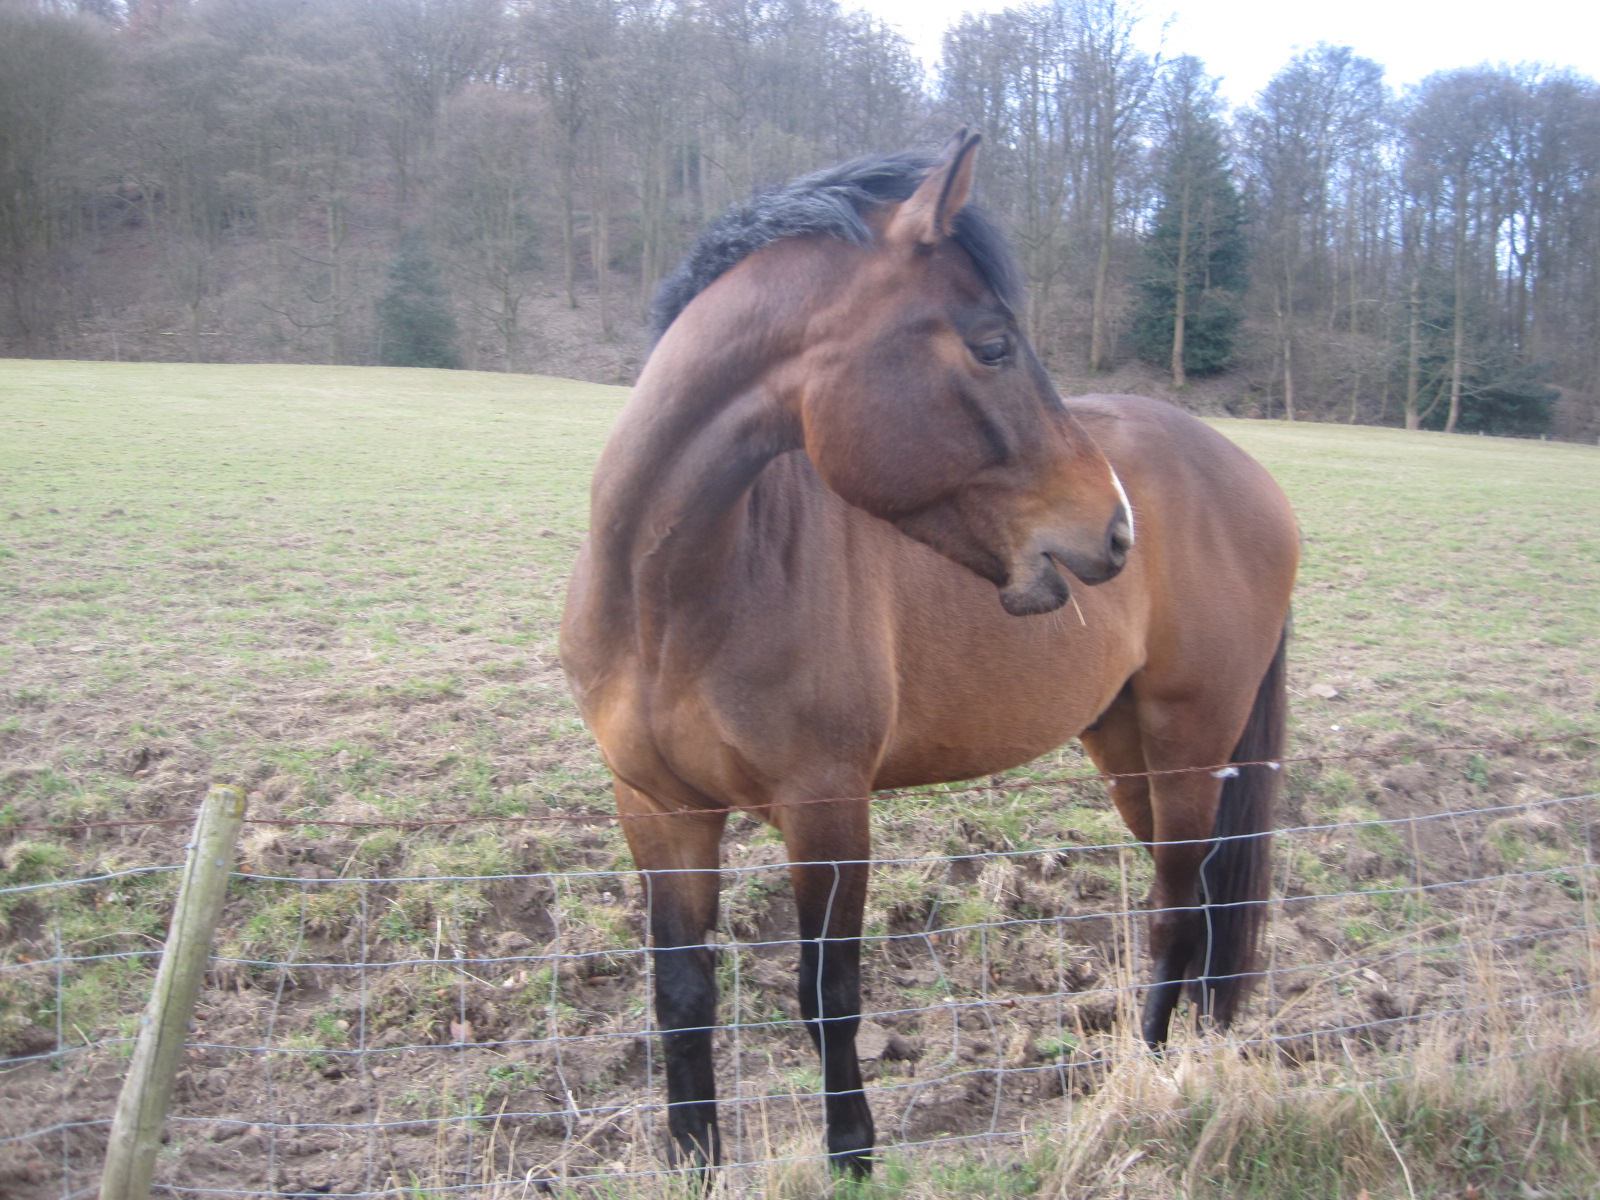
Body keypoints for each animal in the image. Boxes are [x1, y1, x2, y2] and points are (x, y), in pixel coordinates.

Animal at [560, 131, 1298, 1177]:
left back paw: (1154, 1078)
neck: (670, 596)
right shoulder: (659, 811)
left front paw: (854, 1158)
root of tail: (1250, 475)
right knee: (1190, 908)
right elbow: (683, 999)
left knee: (1176, 911)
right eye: (992, 344)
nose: (1115, 528)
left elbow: (827, 996)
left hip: (1190, 742)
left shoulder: (828, 809)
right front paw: (697, 1160)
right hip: (1128, 751)